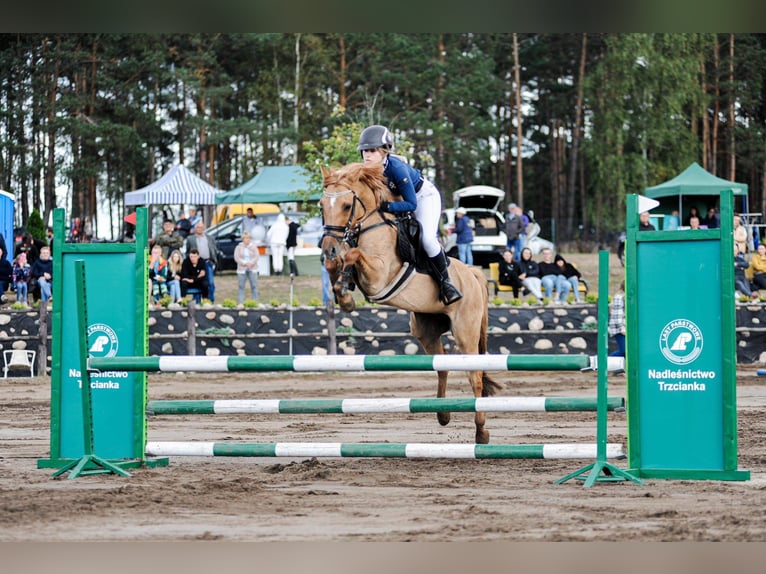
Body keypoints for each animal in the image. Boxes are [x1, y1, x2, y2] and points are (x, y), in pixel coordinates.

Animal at [320, 163, 508, 446]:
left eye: (346, 205)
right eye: (321, 205)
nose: (327, 248)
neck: (369, 227)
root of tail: (474, 273)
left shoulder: (379, 277)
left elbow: (353, 253)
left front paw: (345, 288)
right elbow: (340, 263)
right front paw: (344, 294)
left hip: (466, 331)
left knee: (474, 376)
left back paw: (481, 432)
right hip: (425, 329)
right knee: (442, 366)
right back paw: (443, 415)